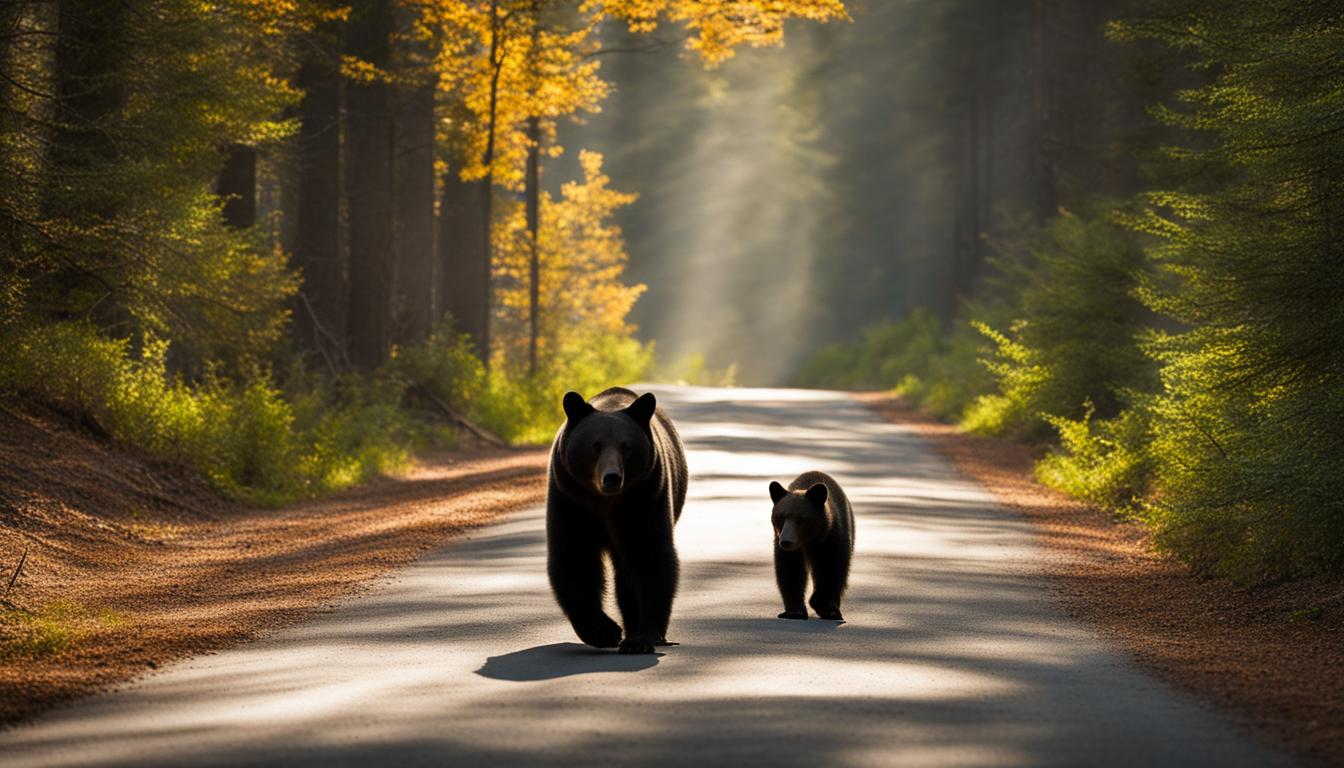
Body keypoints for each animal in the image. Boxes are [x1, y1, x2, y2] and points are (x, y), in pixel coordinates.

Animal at [548, 390, 693, 656]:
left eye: (627, 446)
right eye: (595, 445)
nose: (612, 477)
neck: (606, 502)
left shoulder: (644, 497)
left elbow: (649, 557)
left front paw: (640, 638)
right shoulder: (570, 499)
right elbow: (575, 557)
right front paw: (604, 631)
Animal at [768, 470, 849, 621]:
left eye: (801, 518)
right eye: (781, 516)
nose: (786, 541)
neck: (808, 541)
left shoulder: (831, 538)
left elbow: (830, 569)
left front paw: (828, 608)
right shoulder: (787, 548)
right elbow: (790, 571)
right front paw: (795, 611)